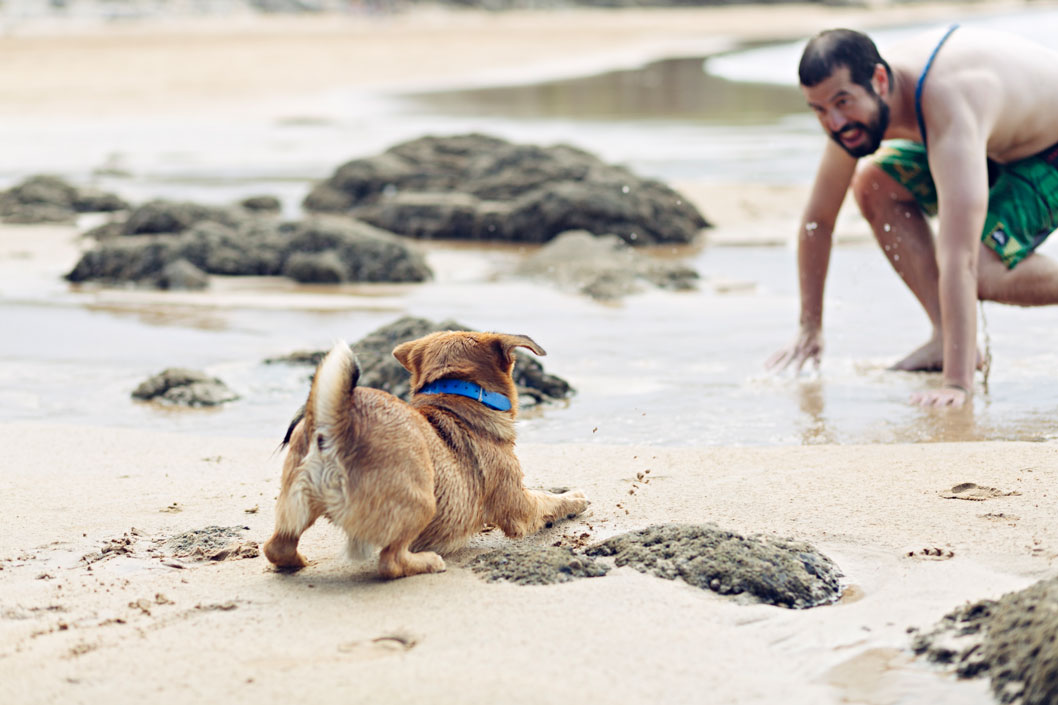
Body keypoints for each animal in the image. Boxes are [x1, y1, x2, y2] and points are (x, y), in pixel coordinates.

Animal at [261, 330, 592, 575]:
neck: (454, 393)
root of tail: (335, 427)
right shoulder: (519, 506)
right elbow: (549, 500)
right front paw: (574, 499)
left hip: (295, 504)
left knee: (276, 548)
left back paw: (299, 562)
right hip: (422, 501)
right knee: (390, 563)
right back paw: (427, 562)